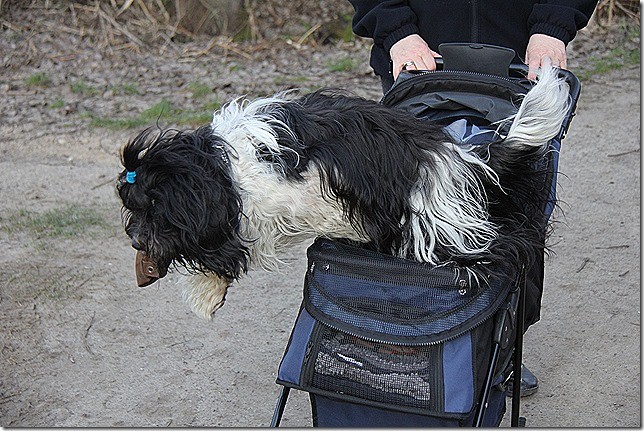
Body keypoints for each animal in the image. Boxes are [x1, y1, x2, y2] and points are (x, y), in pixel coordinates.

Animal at [115, 66, 568, 318]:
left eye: (151, 206)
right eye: (132, 208)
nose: (134, 238)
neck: (221, 167)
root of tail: (460, 154)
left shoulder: (254, 206)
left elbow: (220, 245)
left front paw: (205, 290)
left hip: (435, 228)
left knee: (504, 246)